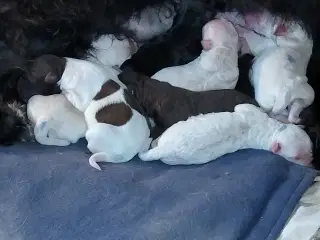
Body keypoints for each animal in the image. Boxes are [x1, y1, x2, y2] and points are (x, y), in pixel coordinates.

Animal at [139, 103, 312, 167]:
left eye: (311, 150)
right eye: (296, 157)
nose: (311, 162)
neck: (272, 131)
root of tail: (166, 149)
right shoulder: (250, 110)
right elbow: (242, 107)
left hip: (173, 150)